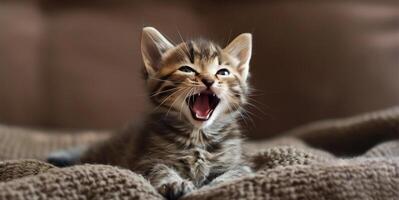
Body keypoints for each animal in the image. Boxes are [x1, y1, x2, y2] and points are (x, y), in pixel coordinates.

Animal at [49, 27, 253, 200]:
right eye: (186, 69)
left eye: (223, 72)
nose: (209, 80)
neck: (198, 137)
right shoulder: (145, 159)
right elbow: (160, 169)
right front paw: (174, 182)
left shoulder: (240, 163)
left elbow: (236, 173)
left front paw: (214, 186)